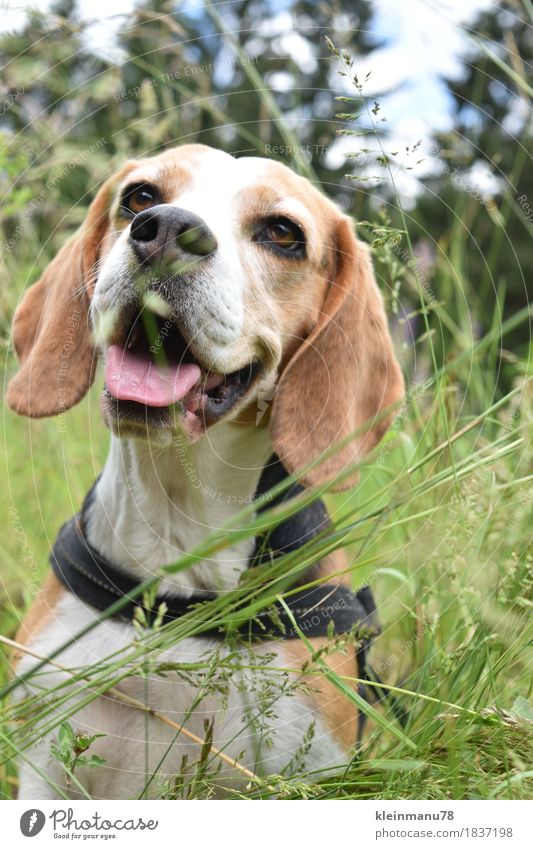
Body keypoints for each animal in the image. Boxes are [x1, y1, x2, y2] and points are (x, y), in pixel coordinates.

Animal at [6, 142, 402, 800]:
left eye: (282, 233)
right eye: (140, 196)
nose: (166, 229)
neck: (176, 527)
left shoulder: (305, 770)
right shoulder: (44, 759)